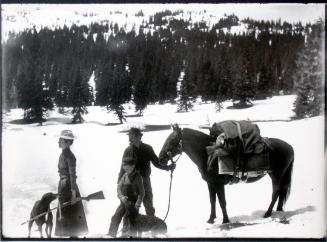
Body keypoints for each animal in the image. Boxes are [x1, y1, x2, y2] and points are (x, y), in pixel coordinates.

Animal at [159, 125, 294, 225]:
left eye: (172, 140)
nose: (161, 159)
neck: (208, 155)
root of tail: (289, 147)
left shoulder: (219, 184)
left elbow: (222, 202)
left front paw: (225, 220)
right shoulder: (210, 183)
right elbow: (212, 201)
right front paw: (211, 219)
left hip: (276, 175)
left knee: (276, 192)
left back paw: (268, 213)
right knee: (281, 191)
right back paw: (279, 209)